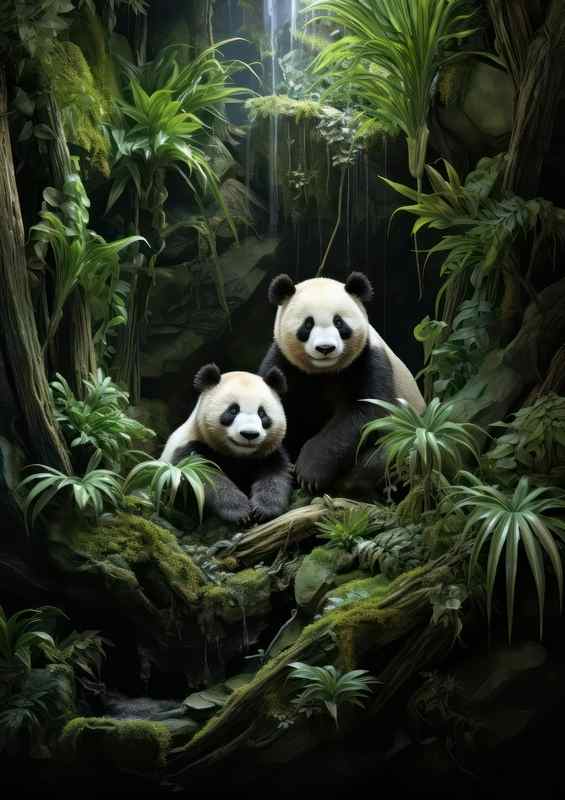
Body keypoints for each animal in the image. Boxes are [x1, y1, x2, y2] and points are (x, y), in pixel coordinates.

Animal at [160, 363, 292, 525]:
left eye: (262, 413)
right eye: (233, 410)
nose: (249, 434)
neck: (238, 456)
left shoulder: (269, 453)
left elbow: (275, 476)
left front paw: (264, 509)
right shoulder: (189, 448)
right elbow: (208, 478)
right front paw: (239, 512)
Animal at [258, 271, 426, 494]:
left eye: (339, 322)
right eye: (308, 324)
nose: (325, 348)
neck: (323, 371)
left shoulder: (367, 360)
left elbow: (364, 413)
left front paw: (310, 472)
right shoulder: (283, 363)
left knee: (386, 457)